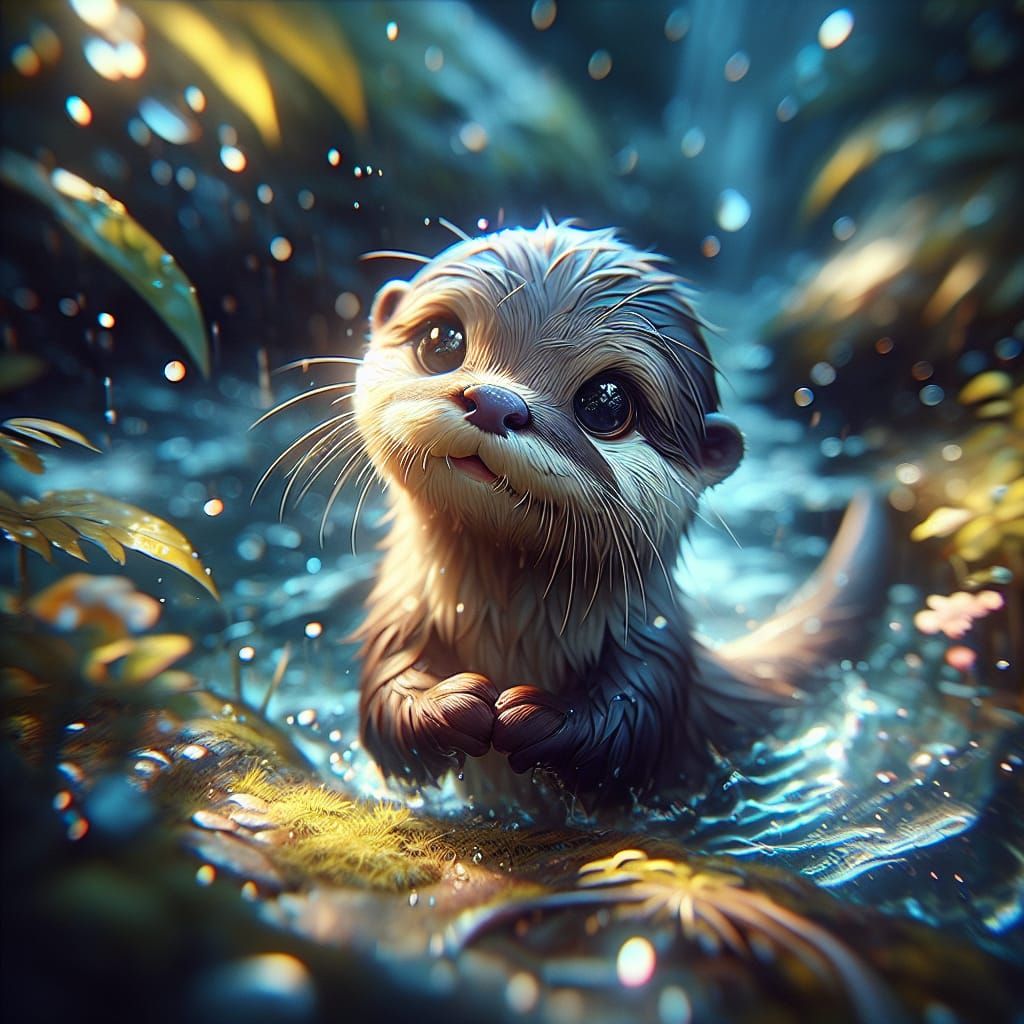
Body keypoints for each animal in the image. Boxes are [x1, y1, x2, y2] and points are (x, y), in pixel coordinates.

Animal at [273, 220, 882, 812]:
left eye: (607, 402)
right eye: (442, 342)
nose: (495, 401)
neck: (506, 626)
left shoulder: (654, 648)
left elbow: (626, 732)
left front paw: (533, 718)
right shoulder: (398, 615)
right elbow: (384, 703)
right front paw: (454, 704)